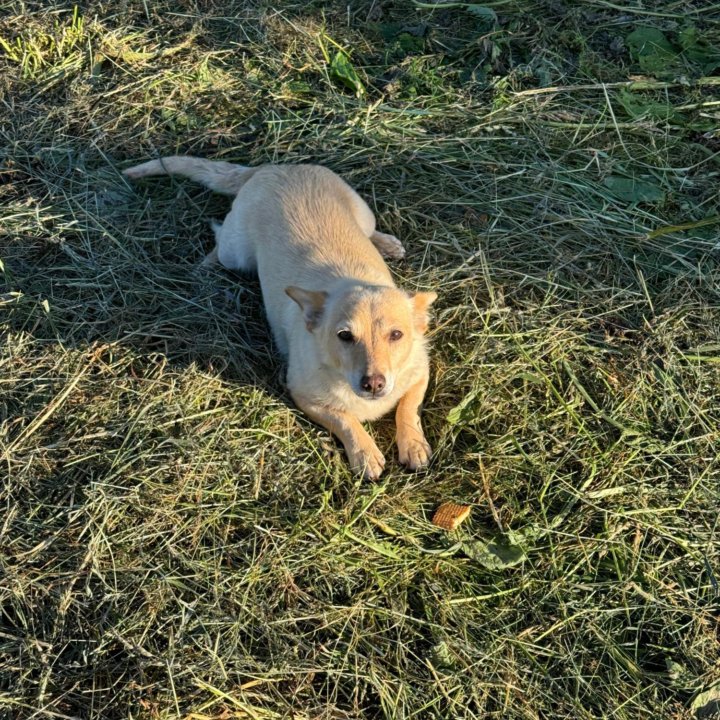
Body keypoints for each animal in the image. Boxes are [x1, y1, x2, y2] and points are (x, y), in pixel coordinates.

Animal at [121, 159, 436, 484]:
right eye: (345, 336)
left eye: (396, 335)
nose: (373, 383)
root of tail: (272, 167)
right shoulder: (304, 397)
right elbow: (345, 420)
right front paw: (365, 453)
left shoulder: (421, 372)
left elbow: (408, 408)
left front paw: (413, 445)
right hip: (237, 254)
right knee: (219, 238)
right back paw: (207, 266)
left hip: (364, 214)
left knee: (371, 231)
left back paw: (387, 244)